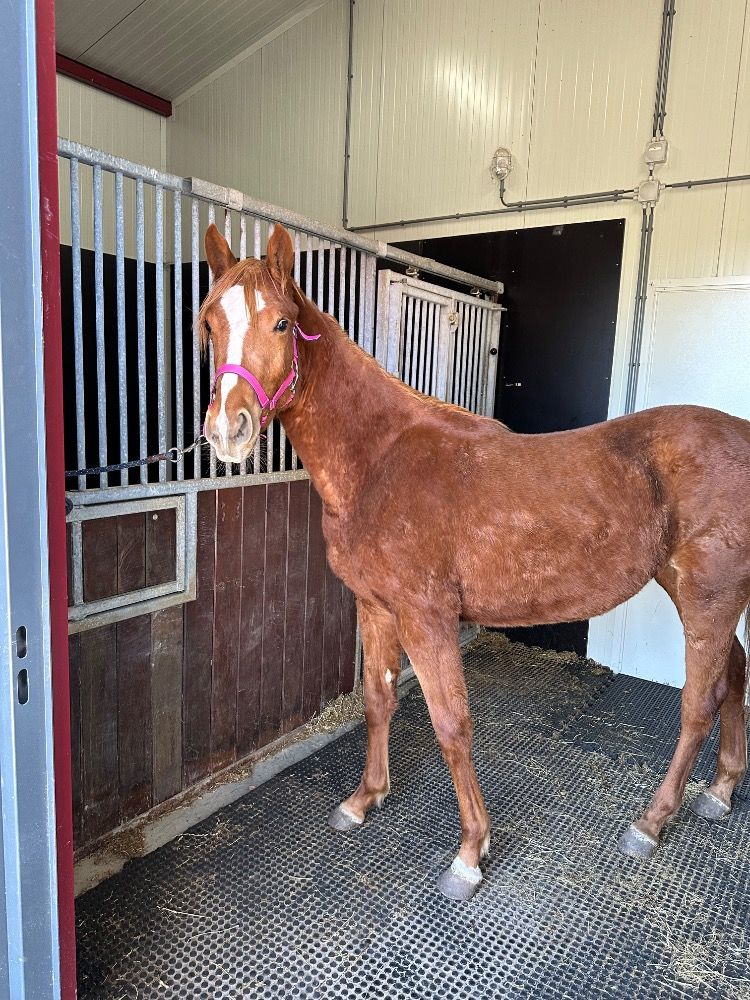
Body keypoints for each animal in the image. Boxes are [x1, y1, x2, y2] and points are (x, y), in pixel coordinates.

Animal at [199, 221, 750, 900]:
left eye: (280, 323)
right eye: (209, 324)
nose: (228, 430)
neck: (378, 460)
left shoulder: (427, 618)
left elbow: (451, 725)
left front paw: (470, 853)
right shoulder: (376, 608)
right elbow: (379, 699)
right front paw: (364, 799)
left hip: (708, 597)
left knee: (699, 703)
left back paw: (650, 822)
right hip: (692, 589)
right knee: (736, 676)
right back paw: (720, 791)